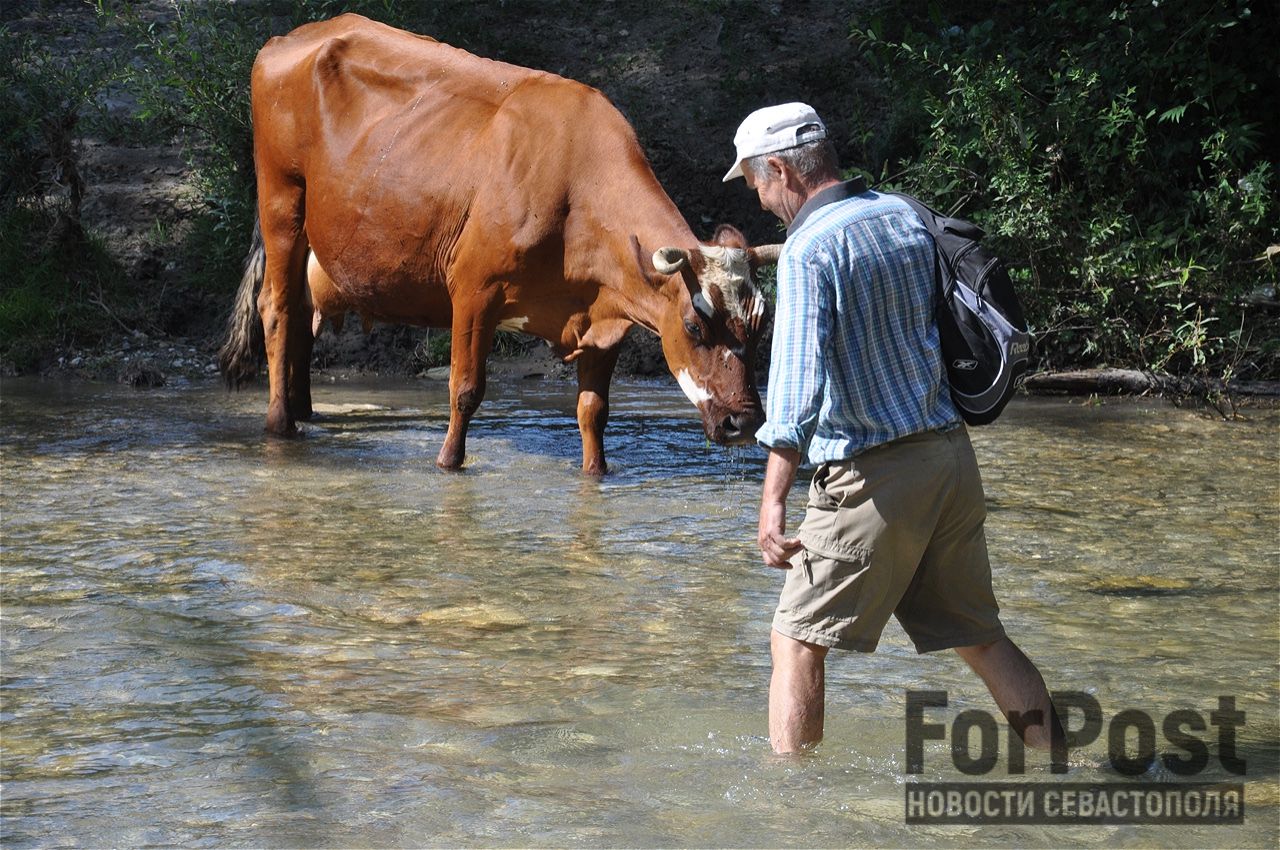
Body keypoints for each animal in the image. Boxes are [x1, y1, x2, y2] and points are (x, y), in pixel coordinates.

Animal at [220, 13, 778, 473]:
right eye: (694, 325)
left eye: (760, 327)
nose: (744, 422)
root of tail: (295, 36)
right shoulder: (473, 287)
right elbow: (465, 390)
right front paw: (448, 465)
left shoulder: (606, 320)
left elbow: (593, 412)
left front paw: (595, 474)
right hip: (281, 200)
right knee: (278, 308)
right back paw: (280, 425)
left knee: (304, 317)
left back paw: (304, 410)